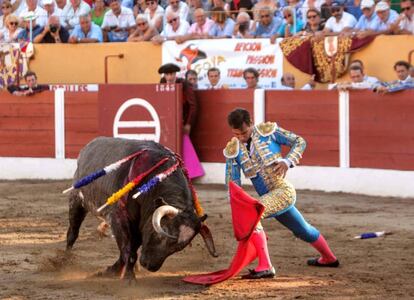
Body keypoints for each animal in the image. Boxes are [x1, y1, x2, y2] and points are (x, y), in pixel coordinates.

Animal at [65, 138, 217, 278]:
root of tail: (87, 147)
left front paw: (112, 271)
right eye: (159, 235)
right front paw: (128, 278)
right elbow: (128, 250)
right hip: (77, 201)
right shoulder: (119, 218)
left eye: (179, 247)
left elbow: (130, 250)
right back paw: (63, 261)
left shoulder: (141, 224)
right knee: (72, 232)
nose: (150, 266)